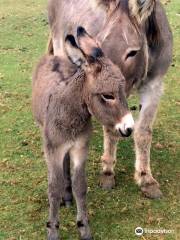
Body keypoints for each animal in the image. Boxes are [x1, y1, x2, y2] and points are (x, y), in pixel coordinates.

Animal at [32, 26, 134, 240]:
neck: (71, 114)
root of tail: (53, 56)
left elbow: (80, 185)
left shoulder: (79, 147)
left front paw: (83, 226)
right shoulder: (53, 149)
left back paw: (67, 195)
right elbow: (53, 187)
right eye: (108, 96)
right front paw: (53, 229)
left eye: (122, 91)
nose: (129, 128)